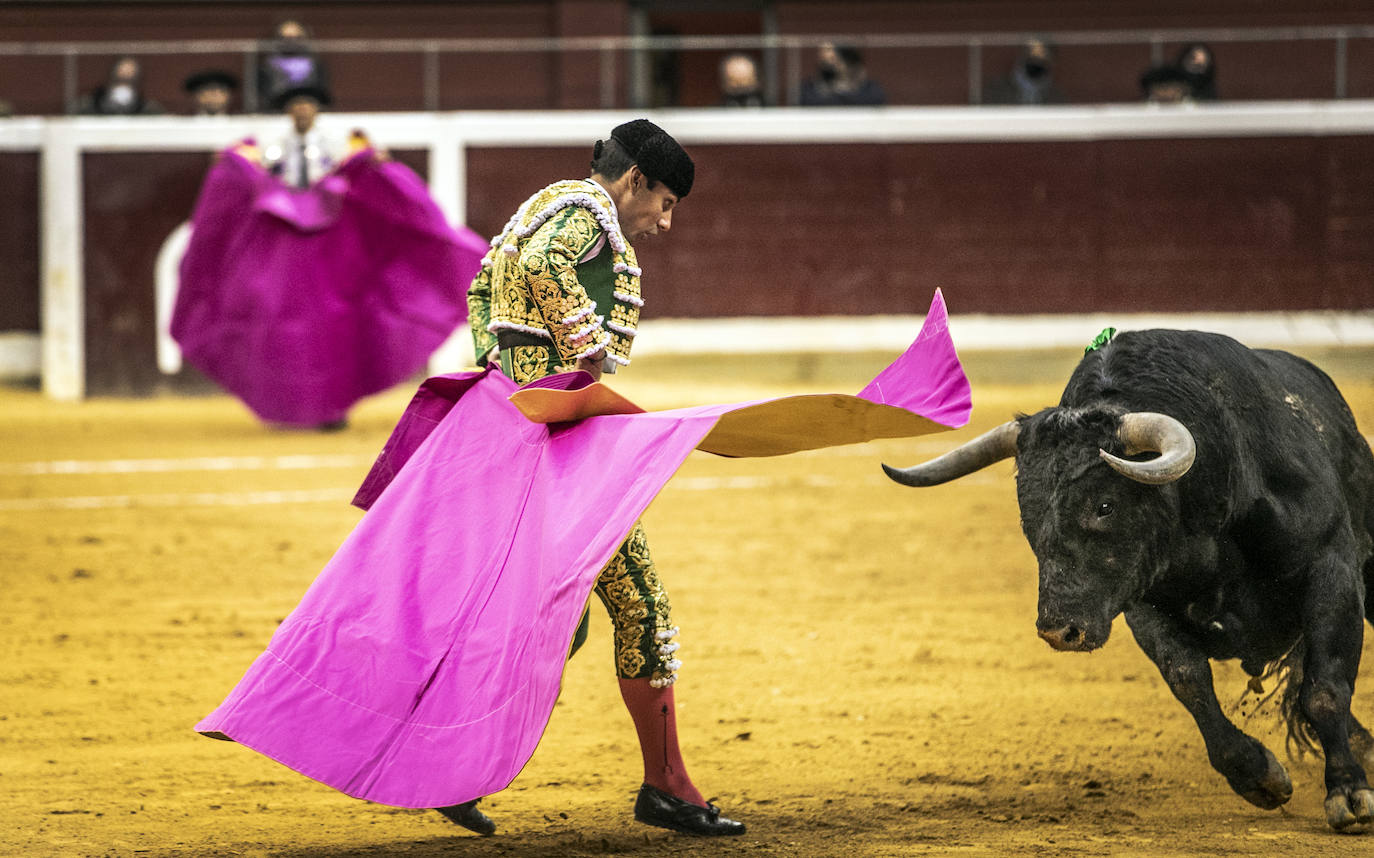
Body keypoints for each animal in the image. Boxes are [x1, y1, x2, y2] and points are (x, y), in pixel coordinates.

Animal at [884, 330, 1368, 830]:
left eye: (1104, 506)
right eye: (1025, 512)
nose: (1060, 631)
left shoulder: (1331, 566)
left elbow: (1325, 689)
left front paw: (1349, 792)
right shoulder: (1142, 603)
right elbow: (1190, 682)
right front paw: (1259, 776)